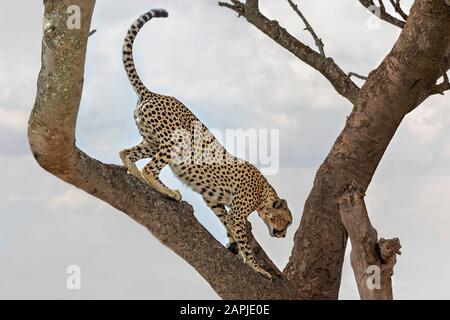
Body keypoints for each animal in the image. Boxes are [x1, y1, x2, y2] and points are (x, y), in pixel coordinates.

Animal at [118, 8, 292, 278]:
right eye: (286, 221)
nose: (283, 235)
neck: (264, 193)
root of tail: (152, 93)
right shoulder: (237, 212)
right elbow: (243, 238)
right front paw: (256, 267)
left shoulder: (214, 201)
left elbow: (227, 224)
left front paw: (232, 248)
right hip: (175, 142)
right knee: (150, 168)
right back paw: (167, 190)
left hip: (152, 141)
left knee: (126, 152)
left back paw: (134, 174)